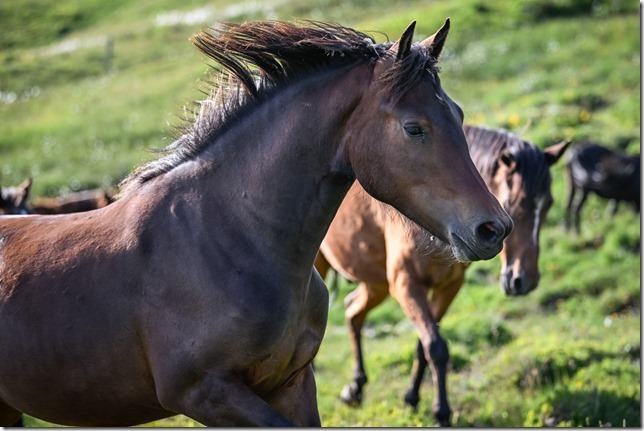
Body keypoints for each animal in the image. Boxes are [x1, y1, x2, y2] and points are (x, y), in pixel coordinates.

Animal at [0, 20, 512, 426]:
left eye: (458, 114)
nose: (494, 228)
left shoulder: (292, 382)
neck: (226, 240)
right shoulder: (204, 394)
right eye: (413, 127)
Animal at [317, 124, 570, 426]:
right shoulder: (406, 285)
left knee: (353, 312)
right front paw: (441, 412)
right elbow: (436, 348)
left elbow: (424, 346)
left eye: (548, 205)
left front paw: (413, 398)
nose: (524, 281)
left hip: (376, 282)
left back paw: (355, 388)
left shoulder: (448, 286)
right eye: (512, 203)